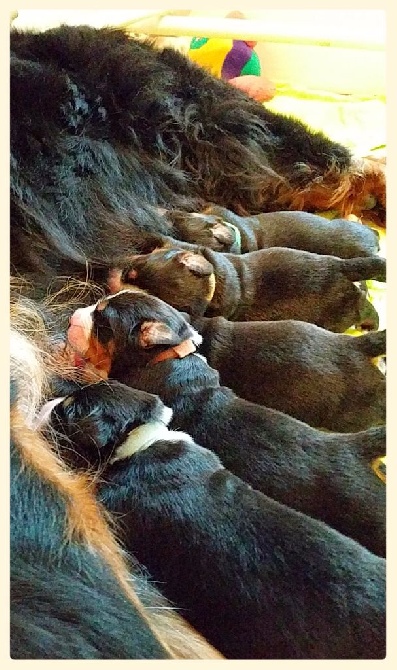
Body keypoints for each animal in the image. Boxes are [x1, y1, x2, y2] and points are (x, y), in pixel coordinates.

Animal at [109, 245, 384, 332]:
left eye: (133, 273)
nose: (111, 271)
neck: (213, 285)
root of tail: (340, 266)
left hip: (338, 312)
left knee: (365, 308)